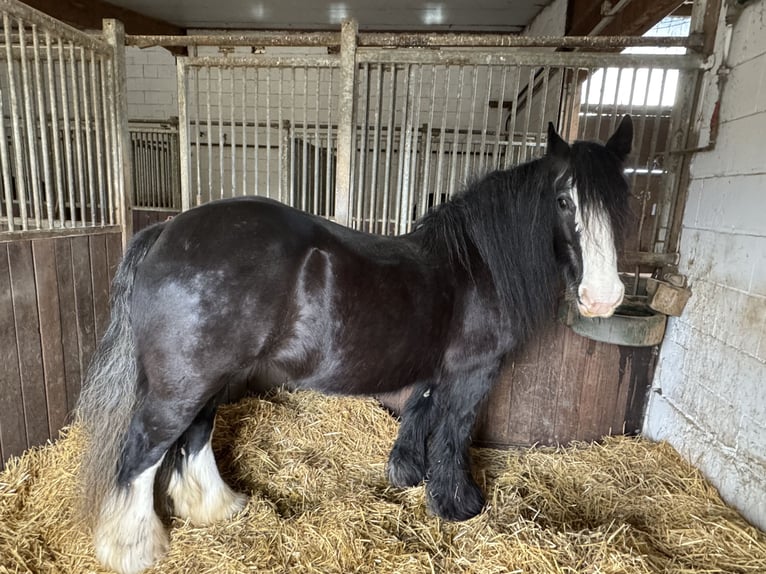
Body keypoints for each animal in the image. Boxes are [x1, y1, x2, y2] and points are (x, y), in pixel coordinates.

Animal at [78, 117, 632, 574]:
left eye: (622, 201)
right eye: (564, 200)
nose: (603, 298)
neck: (474, 266)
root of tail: (167, 229)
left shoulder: (435, 370)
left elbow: (420, 414)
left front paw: (407, 474)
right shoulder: (473, 372)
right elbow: (453, 431)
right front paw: (457, 504)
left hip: (207, 379)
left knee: (194, 435)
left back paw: (217, 509)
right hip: (183, 384)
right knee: (142, 452)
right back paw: (134, 550)